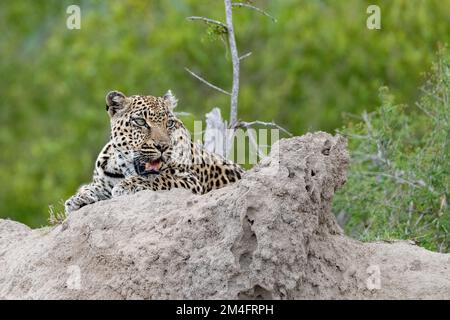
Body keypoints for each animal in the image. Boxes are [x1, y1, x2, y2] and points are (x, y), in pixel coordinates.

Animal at [64, 89, 243, 212]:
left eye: (169, 123)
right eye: (141, 122)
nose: (163, 146)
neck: (124, 168)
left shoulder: (190, 180)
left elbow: (158, 178)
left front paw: (127, 186)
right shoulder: (102, 181)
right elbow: (90, 187)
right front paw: (78, 198)